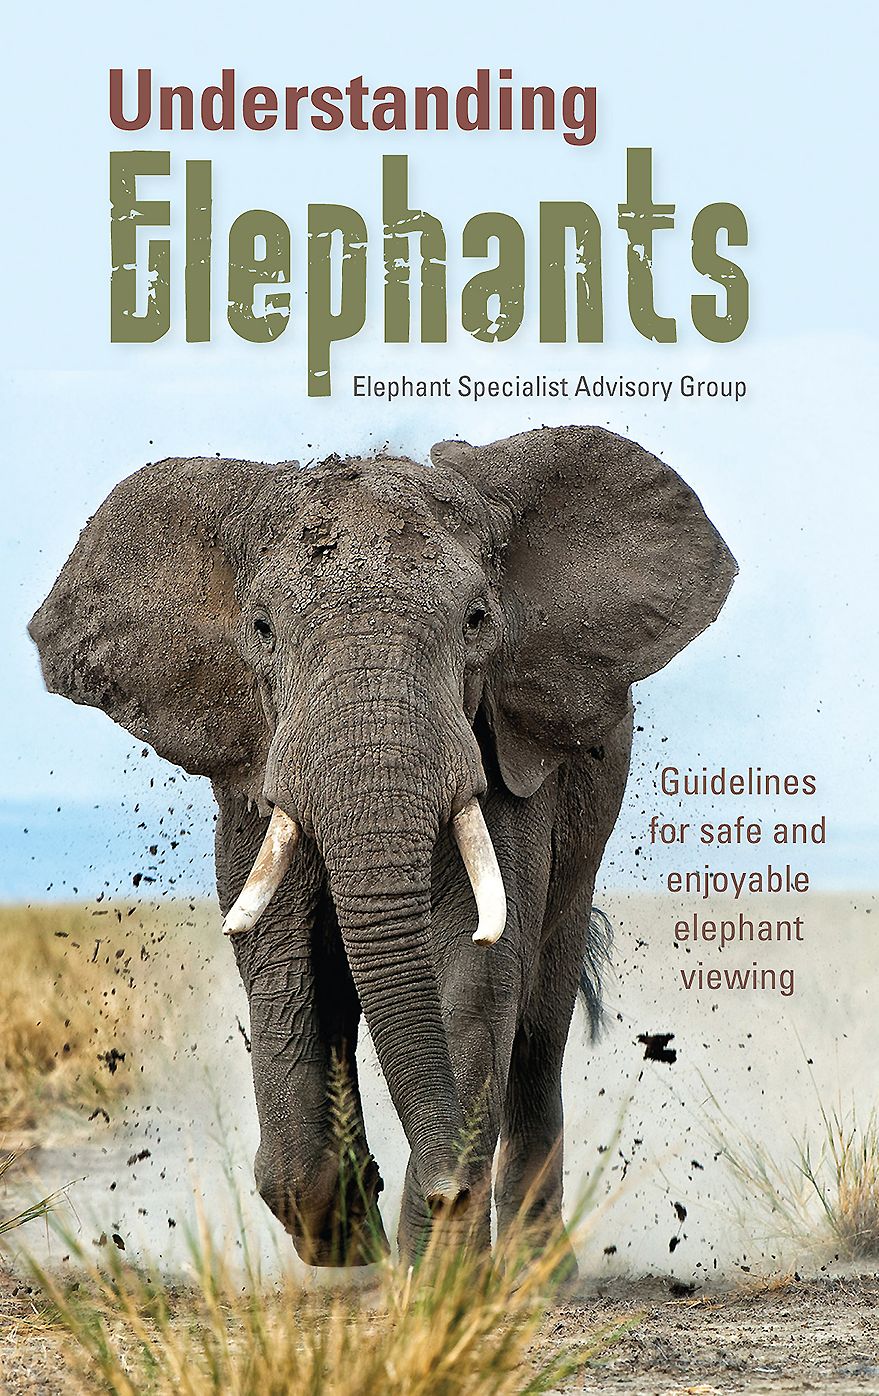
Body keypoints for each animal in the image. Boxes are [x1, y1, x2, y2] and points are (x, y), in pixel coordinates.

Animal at [29, 425, 736, 1268]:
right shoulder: (255, 762)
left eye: (476, 619)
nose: (443, 1186)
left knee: (538, 1030)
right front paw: (349, 1237)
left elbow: (475, 964)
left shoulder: (499, 751)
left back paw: (532, 1268)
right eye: (261, 630)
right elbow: (279, 956)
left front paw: (433, 1270)